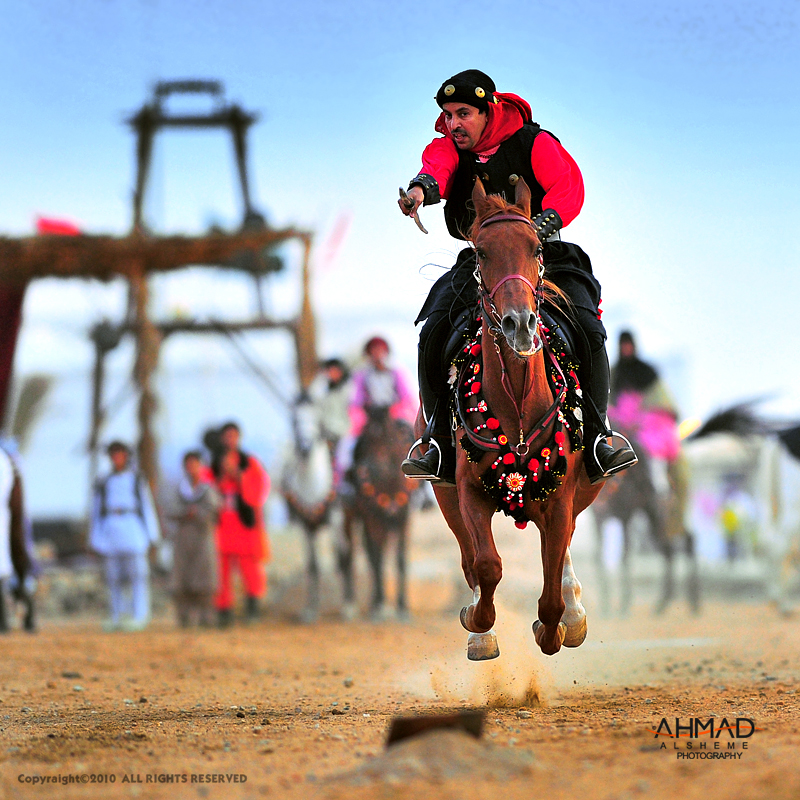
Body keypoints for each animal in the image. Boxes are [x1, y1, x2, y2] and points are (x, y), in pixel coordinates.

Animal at [280, 395, 354, 622]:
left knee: (348, 555)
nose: (305, 447)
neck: (313, 486)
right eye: (294, 419)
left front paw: (348, 607)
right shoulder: (306, 526)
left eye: (317, 417)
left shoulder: (335, 520)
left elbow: (341, 559)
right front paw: (310, 609)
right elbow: (312, 566)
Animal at [344, 407, 417, 620]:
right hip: (349, 516)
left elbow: (400, 559)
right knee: (350, 554)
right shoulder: (373, 519)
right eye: (365, 440)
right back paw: (351, 605)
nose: (360, 472)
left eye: (383, 441)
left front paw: (402, 606)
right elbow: (377, 558)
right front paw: (380, 604)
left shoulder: (404, 518)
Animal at [416, 177, 606, 660]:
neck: (517, 410)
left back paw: (573, 613)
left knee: (563, 551)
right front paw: (478, 624)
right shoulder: (466, 490)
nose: (520, 324)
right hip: (443, 489)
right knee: (469, 557)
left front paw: (556, 625)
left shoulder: (562, 499)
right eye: (481, 252)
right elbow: (486, 565)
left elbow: (552, 588)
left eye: (536, 247)